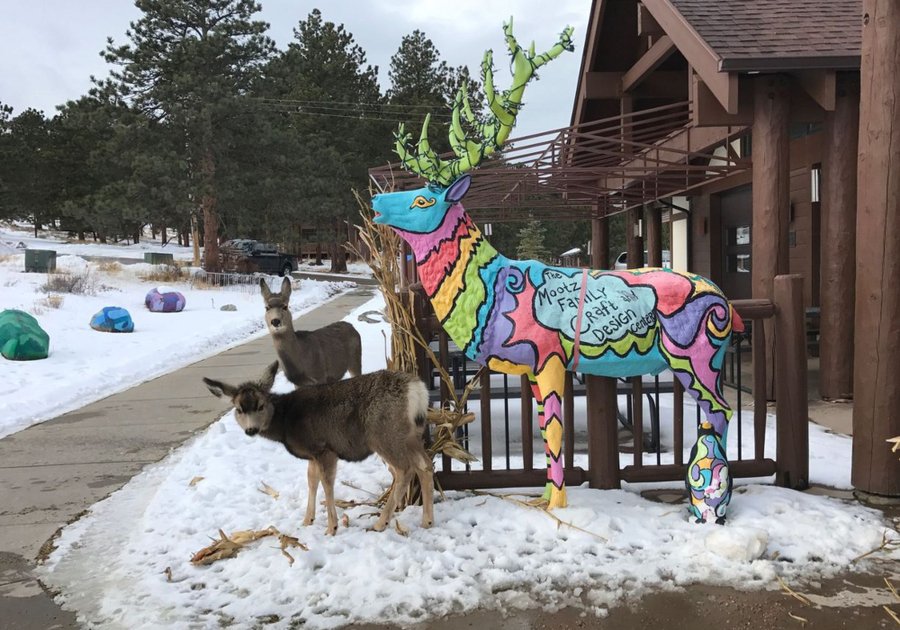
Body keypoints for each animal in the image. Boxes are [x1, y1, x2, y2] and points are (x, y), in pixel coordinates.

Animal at [203, 366, 432, 540]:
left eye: (260, 406)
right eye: (239, 409)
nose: (251, 430)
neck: (285, 422)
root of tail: (417, 390)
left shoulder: (324, 448)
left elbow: (326, 482)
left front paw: (331, 527)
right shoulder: (312, 453)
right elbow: (311, 480)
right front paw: (307, 520)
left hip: (383, 434)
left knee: (404, 469)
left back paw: (380, 522)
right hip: (410, 435)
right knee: (425, 464)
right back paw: (427, 521)